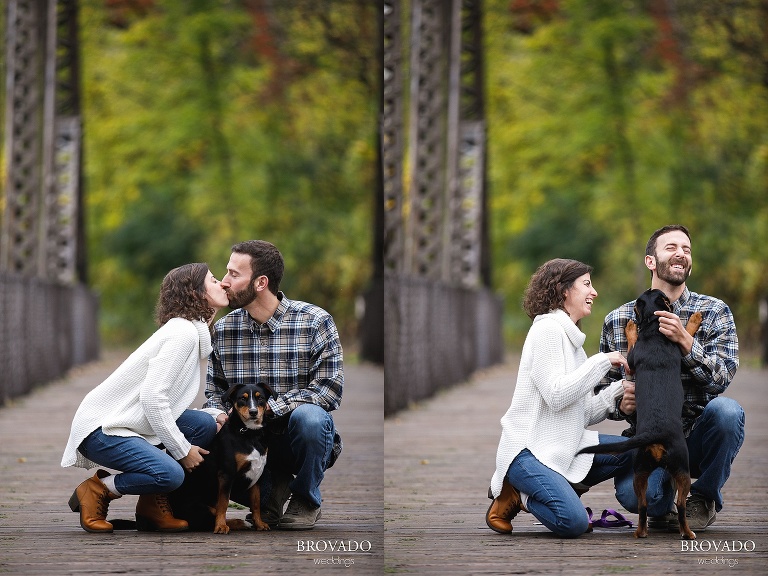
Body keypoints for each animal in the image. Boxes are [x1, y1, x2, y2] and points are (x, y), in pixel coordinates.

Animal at [169, 382, 276, 536]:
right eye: (242, 398)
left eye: (260, 398)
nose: (253, 412)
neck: (249, 434)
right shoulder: (227, 473)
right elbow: (223, 504)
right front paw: (220, 527)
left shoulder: (257, 476)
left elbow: (256, 503)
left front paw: (260, 524)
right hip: (199, 507)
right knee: (207, 520)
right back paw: (236, 523)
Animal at [576, 288, 704, 540]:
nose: (632, 317)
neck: (654, 328)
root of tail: (655, 434)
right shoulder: (633, 362)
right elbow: (686, 331)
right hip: (681, 469)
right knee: (681, 505)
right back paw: (687, 533)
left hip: (640, 470)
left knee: (643, 505)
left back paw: (640, 532)